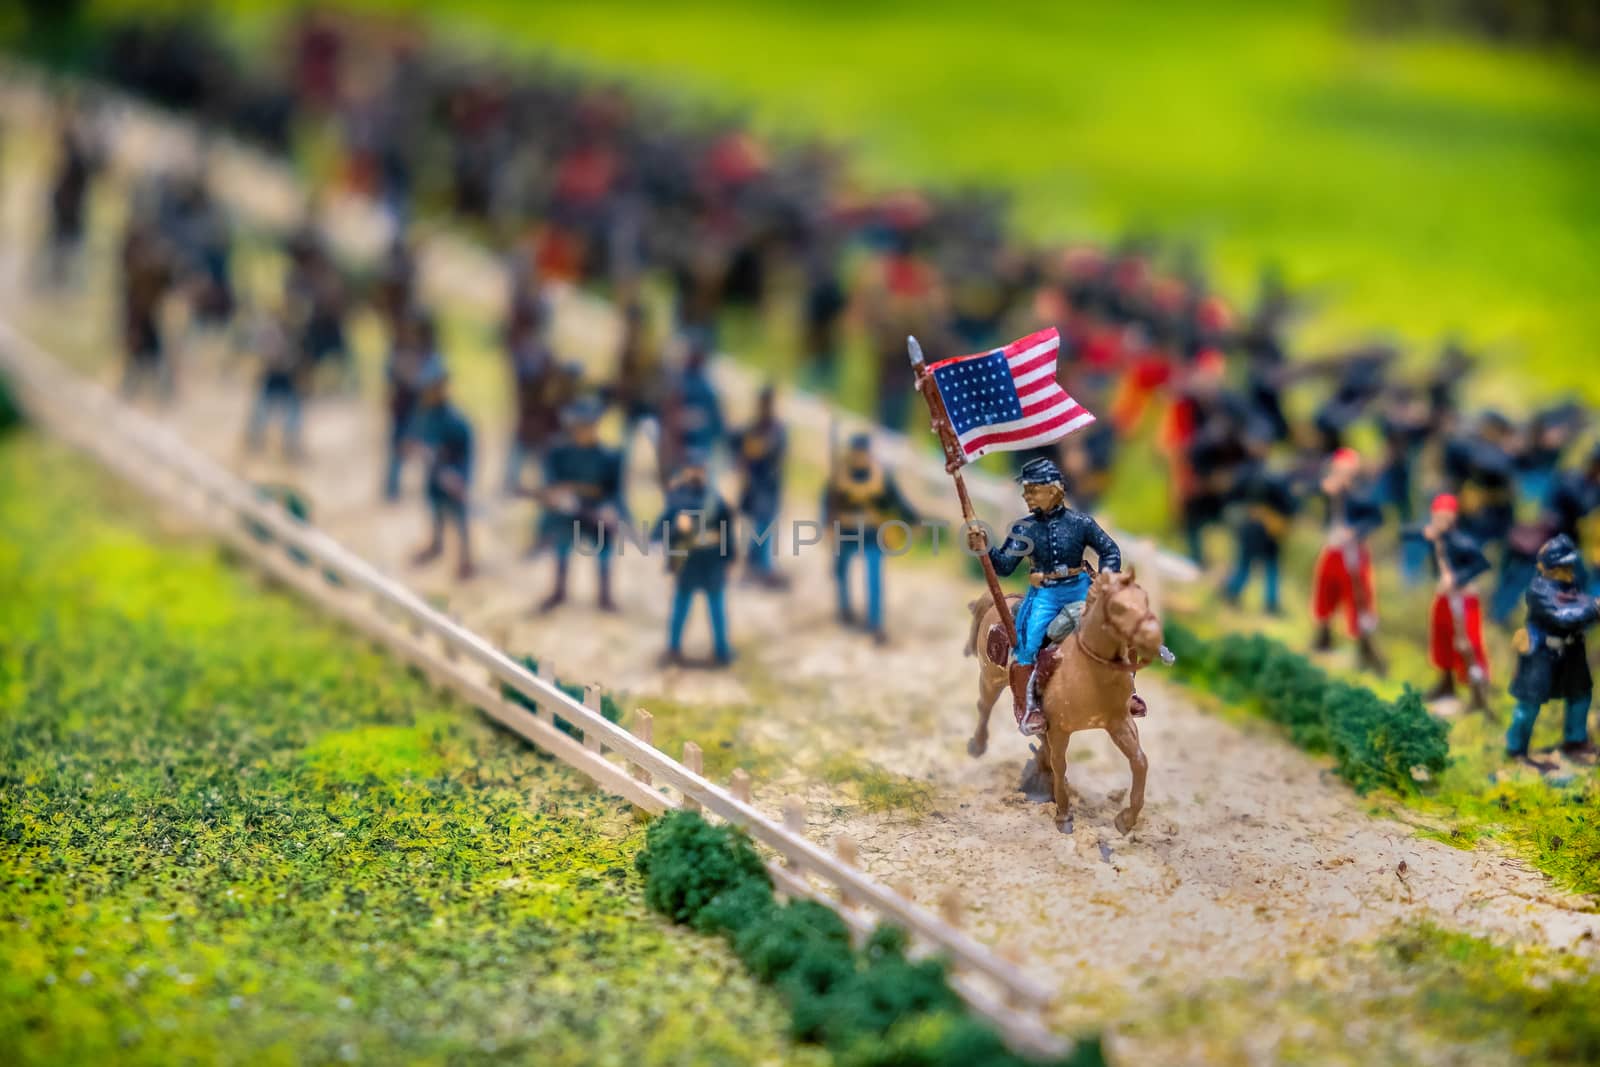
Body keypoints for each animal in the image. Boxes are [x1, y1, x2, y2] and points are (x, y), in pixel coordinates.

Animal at [960, 572, 1164, 838]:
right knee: (984, 706)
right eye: (1119, 607)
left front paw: (1126, 820)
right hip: (991, 679)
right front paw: (1064, 814)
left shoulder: (1119, 722)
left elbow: (1139, 761)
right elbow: (1060, 764)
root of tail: (1007, 599)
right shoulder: (1060, 729)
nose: (1153, 639)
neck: (1088, 667)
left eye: (1145, 599)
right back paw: (978, 745)